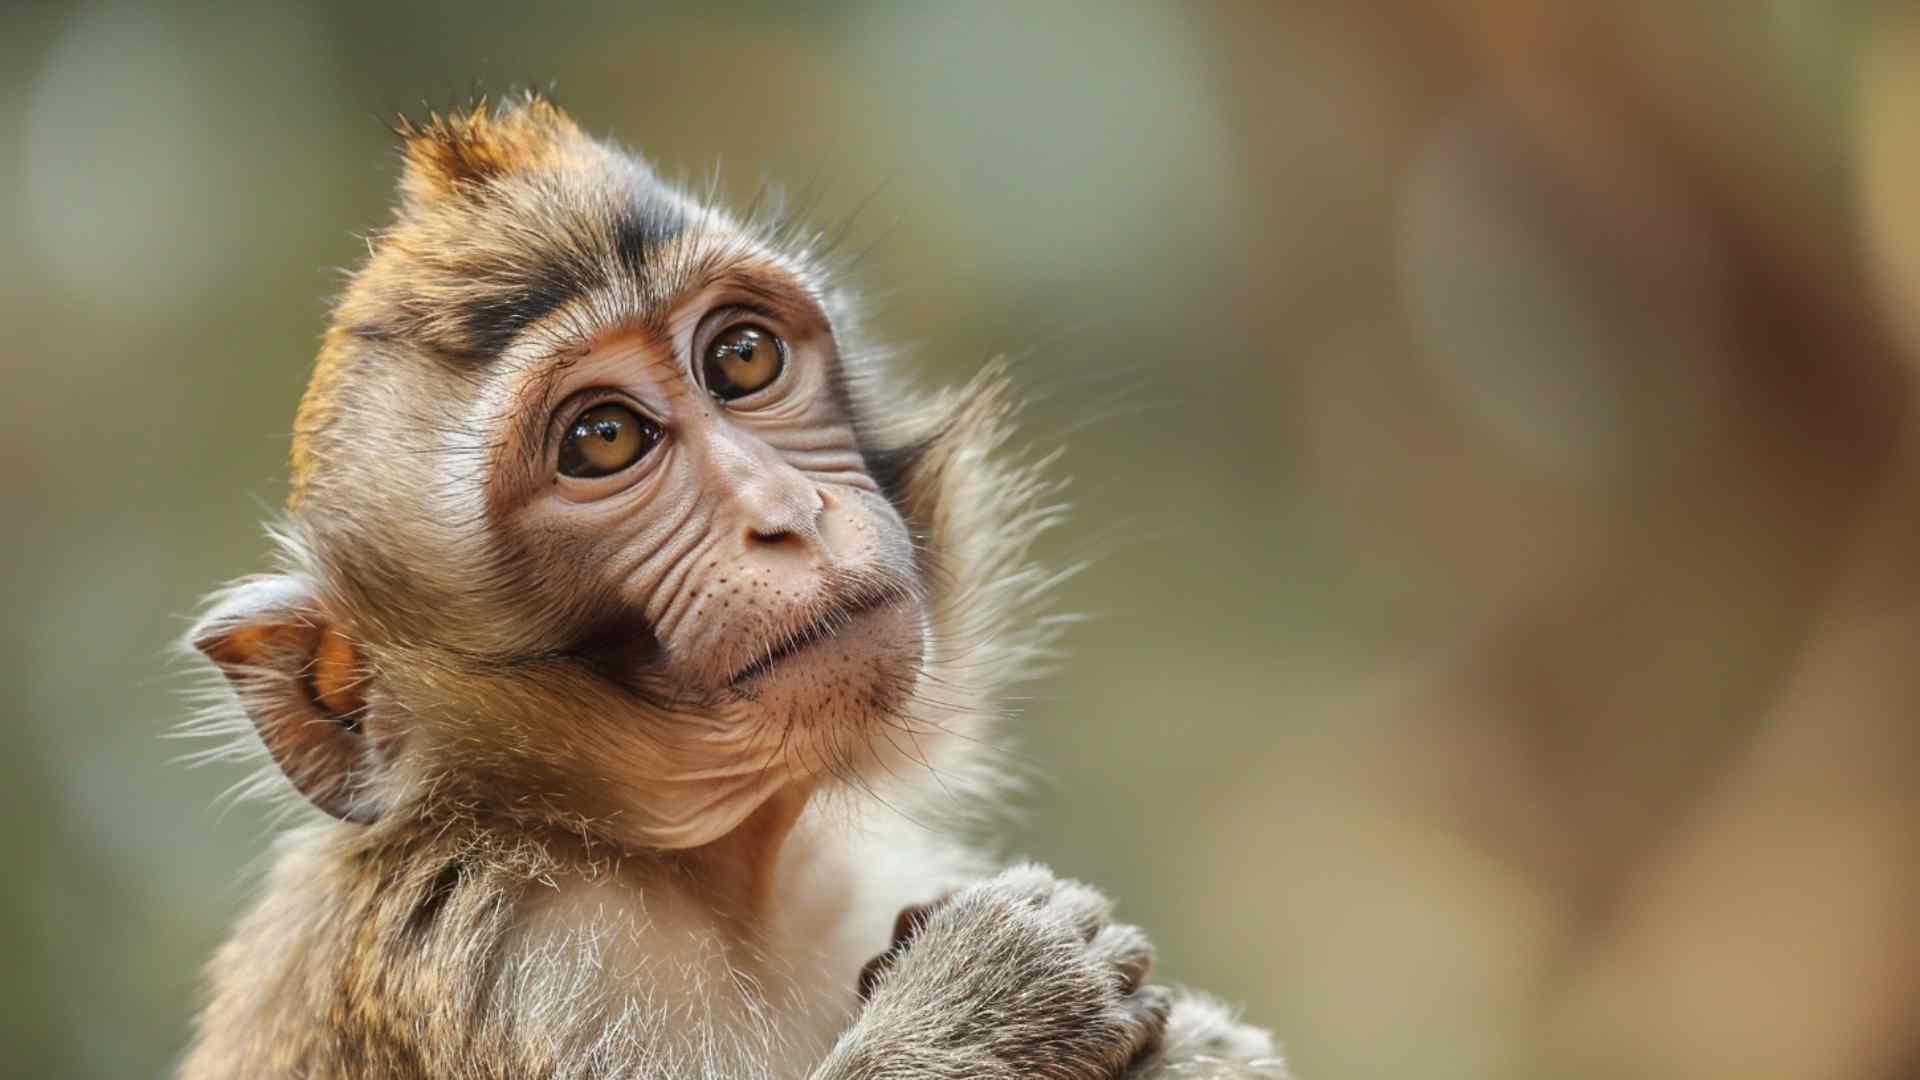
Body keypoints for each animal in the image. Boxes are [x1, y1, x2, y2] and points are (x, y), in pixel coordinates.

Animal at [182, 92, 1284, 1080]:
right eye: (603, 439)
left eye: (742, 356)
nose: (787, 510)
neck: (710, 877)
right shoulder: (538, 961)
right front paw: (1005, 993)